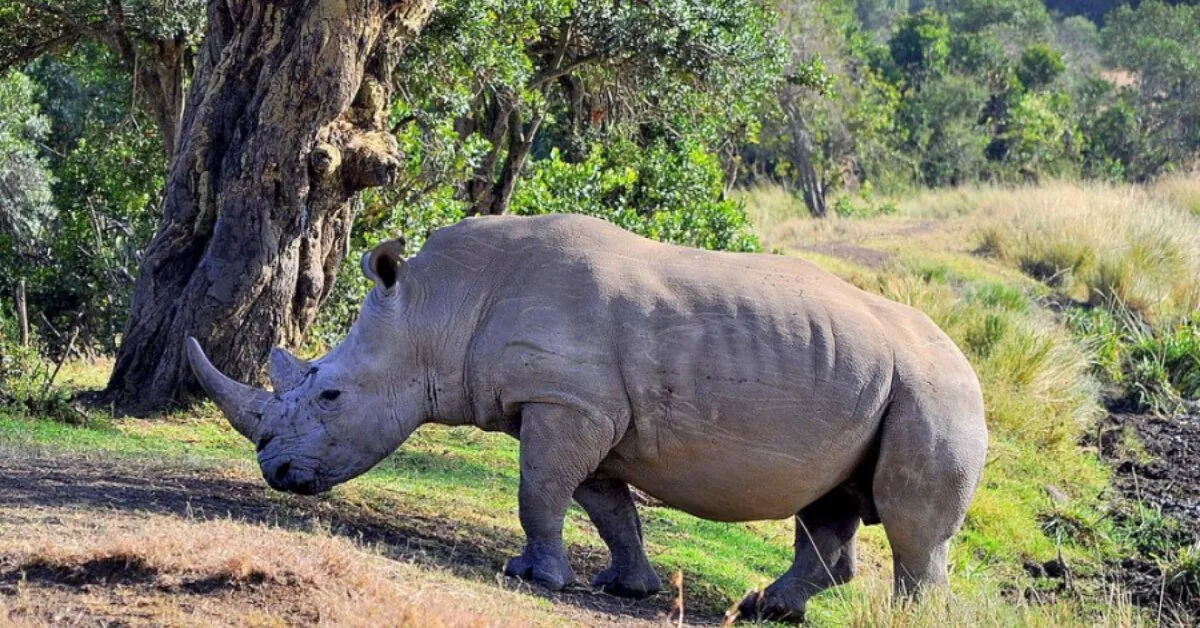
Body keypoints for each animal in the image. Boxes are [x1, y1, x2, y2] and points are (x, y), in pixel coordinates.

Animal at [187, 214, 987, 621]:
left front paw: (533, 576)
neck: (435, 309)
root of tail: (971, 362)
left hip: (938, 394)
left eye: (330, 396)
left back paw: (907, 618)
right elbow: (606, 507)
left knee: (911, 524)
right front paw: (627, 589)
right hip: (878, 382)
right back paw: (767, 608)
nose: (275, 471)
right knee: (830, 505)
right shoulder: (591, 412)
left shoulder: (565, 404)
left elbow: (538, 491)